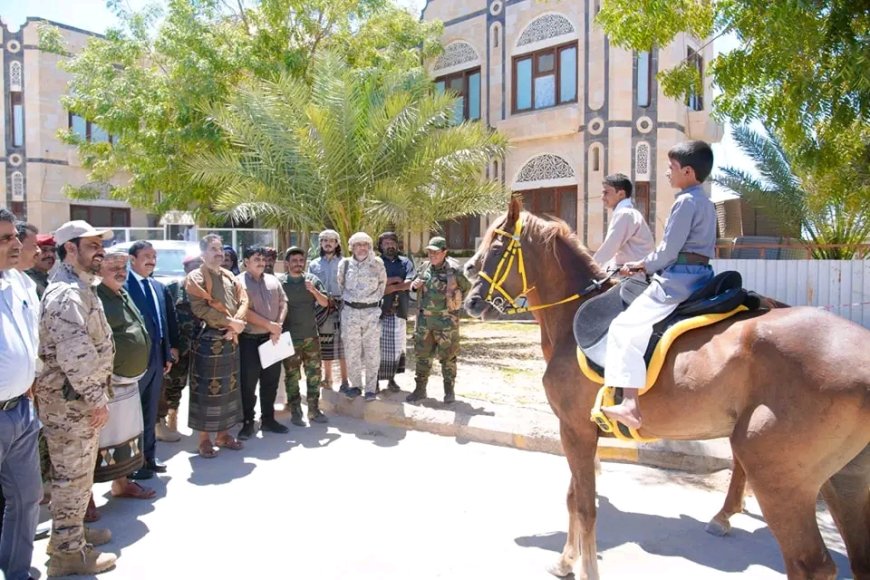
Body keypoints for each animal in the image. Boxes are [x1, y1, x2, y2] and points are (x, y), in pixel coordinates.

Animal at [466, 197, 870, 576]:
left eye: (497, 247)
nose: (469, 295)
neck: (571, 318)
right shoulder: (579, 430)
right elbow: (573, 497)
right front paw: (567, 560)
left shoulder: (575, 429)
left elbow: (584, 505)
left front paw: (584, 567)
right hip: (844, 480)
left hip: (779, 476)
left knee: (810, 563)